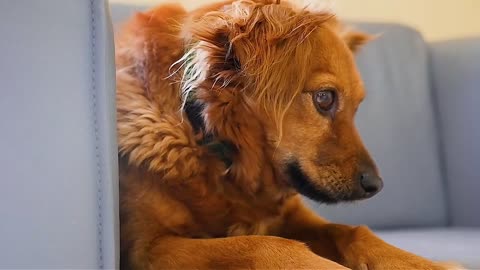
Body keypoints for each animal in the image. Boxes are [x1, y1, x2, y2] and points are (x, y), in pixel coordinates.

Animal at [115, 1, 462, 268]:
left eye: (357, 107)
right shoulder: (148, 247)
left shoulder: (293, 216)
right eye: (324, 98)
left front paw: (426, 264)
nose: (375, 185)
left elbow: (353, 231)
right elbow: (264, 244)